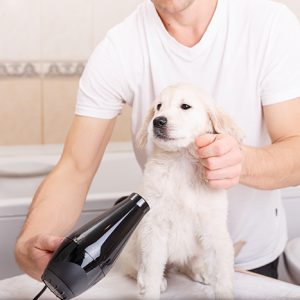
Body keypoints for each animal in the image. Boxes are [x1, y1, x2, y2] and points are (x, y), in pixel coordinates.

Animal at [116, 82, 243, 300]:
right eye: (158, 106)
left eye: (185, 106)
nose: (158, 121)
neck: (180, 162)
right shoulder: (154, 228)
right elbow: (152, 270)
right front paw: (150, 289)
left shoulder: (214, 228)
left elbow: (223, 273)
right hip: (130, 246)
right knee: (137, 267)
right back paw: (145, 279)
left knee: (189, 262)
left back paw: (200, 270)